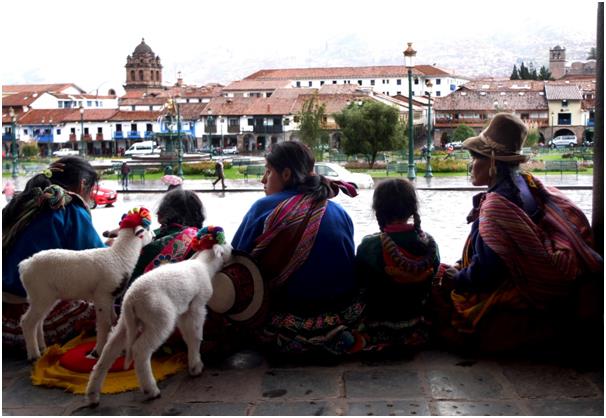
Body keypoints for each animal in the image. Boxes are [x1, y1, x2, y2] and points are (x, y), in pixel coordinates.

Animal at [19, 207, 154, 360]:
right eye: (147, 229)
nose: (154, 235)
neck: (120, 255)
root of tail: (25, 265)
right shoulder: (102, 296)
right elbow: (104, 324)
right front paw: (98, 351)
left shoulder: (110, 296)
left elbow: (113, 319)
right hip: (41, 293)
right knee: (27, 322)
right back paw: (34, 354)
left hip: (45, 297)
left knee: (39, 321)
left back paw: (42, 347)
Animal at [86, 225, 234, 404]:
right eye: (226, 243)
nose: (234, 250)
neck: (204, 264)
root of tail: (131, 299)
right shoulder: (196, 306)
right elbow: (195, 335)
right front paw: (195, 366)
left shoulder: (184, 310)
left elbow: (188, 335)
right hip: (159, 318)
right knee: (140, 350)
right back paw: (151, 390)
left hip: (126, 323)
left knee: (108, 352)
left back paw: (93, 394)